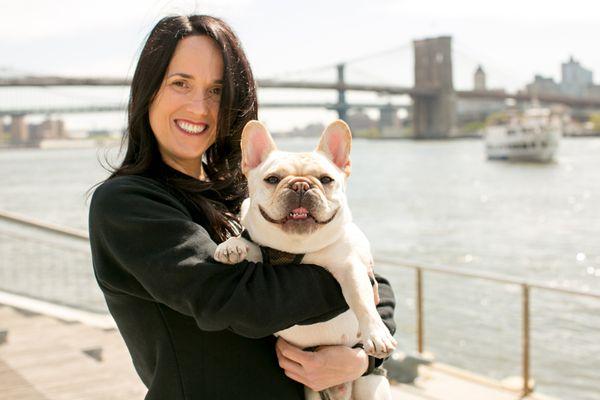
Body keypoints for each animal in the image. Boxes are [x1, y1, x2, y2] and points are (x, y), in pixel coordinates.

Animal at [214, 119, 394, 400]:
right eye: (272, 179)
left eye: (326, 179)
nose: (300, 185)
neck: (297, 246)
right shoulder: (263, 248)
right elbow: (250, 243)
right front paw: (231, 245)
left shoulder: (351, 268)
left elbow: (361, 301)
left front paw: (377, 335)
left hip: (369, 386)